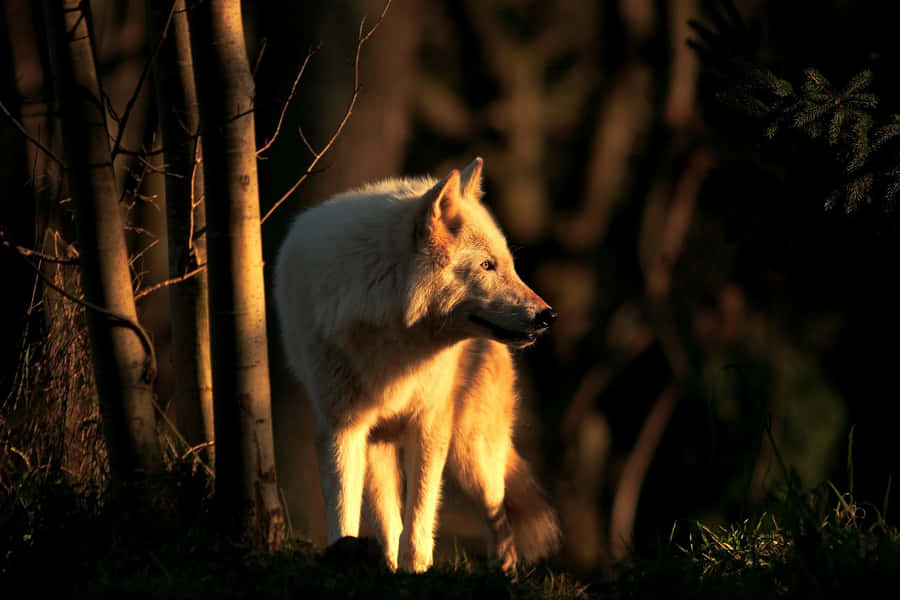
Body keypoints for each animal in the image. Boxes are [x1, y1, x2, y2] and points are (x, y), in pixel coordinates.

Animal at [273, 158, 560, 573]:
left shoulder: (429, 424)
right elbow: (346, 509)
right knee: (388, 519)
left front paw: (417, 569)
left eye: (508, 266)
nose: (548, 316)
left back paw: (502, 573)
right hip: (380, 449)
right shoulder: (342, 428)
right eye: (487, 265)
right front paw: (350, 556)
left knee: (500, 520)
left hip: (471, 454)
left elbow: (420, 517)